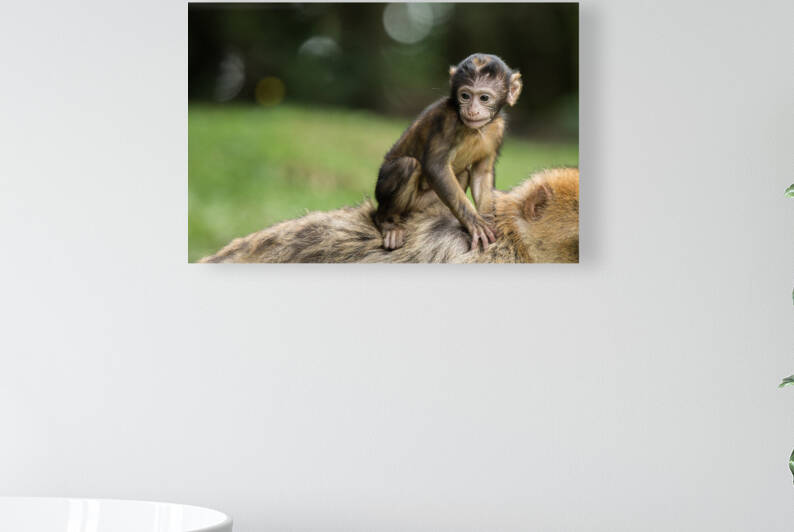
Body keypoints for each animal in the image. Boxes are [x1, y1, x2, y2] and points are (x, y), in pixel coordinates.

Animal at [374, 53, 523, 251]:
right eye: (465, 96)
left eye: (484, 98)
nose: (472, 110)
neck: (474, 129)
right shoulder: (446, 119)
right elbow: (436, 167)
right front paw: (475, 223)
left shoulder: (498, 128)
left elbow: (481, 174)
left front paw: (489, 220)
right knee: (407, 164)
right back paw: (387, 223)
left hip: (422, 204)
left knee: (464, 173)